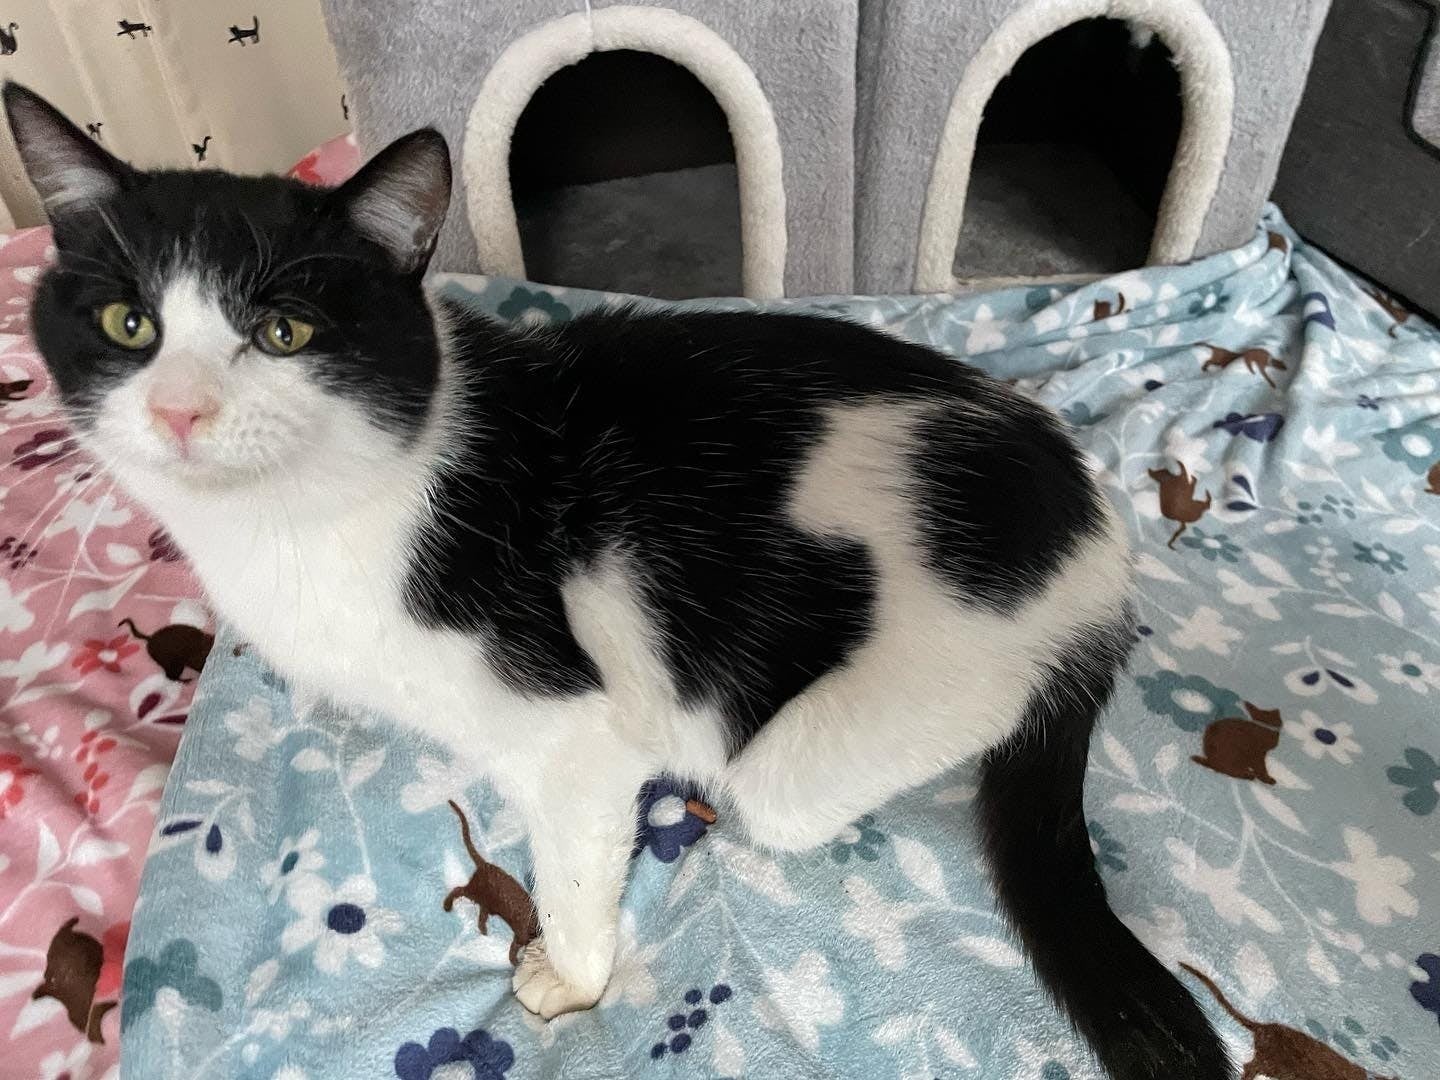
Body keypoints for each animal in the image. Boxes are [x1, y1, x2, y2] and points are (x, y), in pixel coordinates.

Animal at [4, 82, 1228, 1080]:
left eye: (283, 331)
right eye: (128, 322)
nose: (180, 412)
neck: (318, 514)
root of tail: (1099, 551)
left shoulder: (576, 733)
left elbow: (579, 856)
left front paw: (571, 977)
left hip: (858, 725)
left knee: (793, 785)